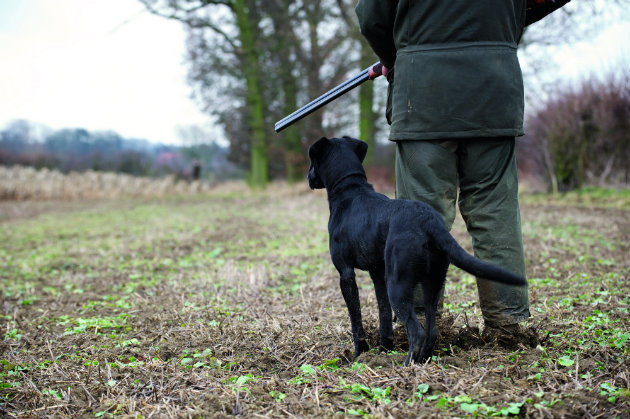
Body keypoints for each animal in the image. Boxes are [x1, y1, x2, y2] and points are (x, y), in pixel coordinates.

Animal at [308, 136, 524, 366]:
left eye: (312, 159)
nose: (308, 176)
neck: (350, 189)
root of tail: (429, 220)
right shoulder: (378, 273)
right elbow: (384, 313)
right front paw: (384, 350)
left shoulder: (346, 273)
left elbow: (355, 317)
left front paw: (360, 354)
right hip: (433, 283)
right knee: (431, 330)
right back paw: (422, 360)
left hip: (398, 284)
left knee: (417, 331)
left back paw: (407, 364)